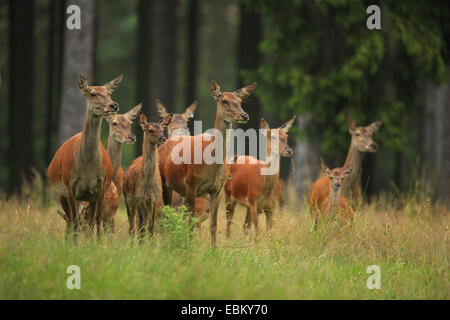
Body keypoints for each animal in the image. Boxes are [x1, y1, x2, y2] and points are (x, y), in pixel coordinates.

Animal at [47, 74, 123, 235]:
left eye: (109, 93)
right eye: (92, 93)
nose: (113, 105)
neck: (87, 169)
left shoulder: (100, 188)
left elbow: (97, 219)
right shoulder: (69, 187)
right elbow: (75, 220)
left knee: (89, 220)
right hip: (60, 193)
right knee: (70, 220)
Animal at [123, 111, 172, 239]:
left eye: (162, 129)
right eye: (150, 130)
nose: (163, 138)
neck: (148, 185)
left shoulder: (155, 198)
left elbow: (151, 227)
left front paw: (151, 242)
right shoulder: (139, 198)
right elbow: (141, 228)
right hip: (127, 200)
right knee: (132, 225)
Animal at [158, 80, 256, 245]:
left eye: (240, 101)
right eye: (224, 101)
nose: (244, 115)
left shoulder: (218, 190)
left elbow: (213, 225)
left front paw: (213, 248)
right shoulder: (191, 184)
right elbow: (190, 222)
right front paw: (189, 246)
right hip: (165, 183)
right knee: (167, 215)